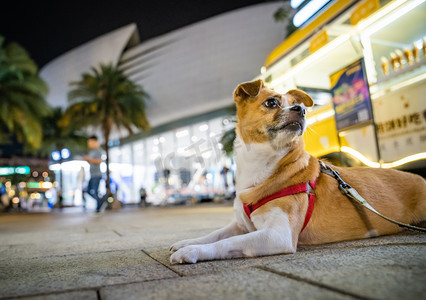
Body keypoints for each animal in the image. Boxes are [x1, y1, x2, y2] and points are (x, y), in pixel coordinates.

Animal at [170, 78, 426, 264]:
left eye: (300, 106)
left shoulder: (278, 235)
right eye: (272, 102)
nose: (300, 109)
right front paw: (188, 242)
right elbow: (215, 234)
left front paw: (192, 251)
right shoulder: (240, 225)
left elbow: (226, 243)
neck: (262, 165)